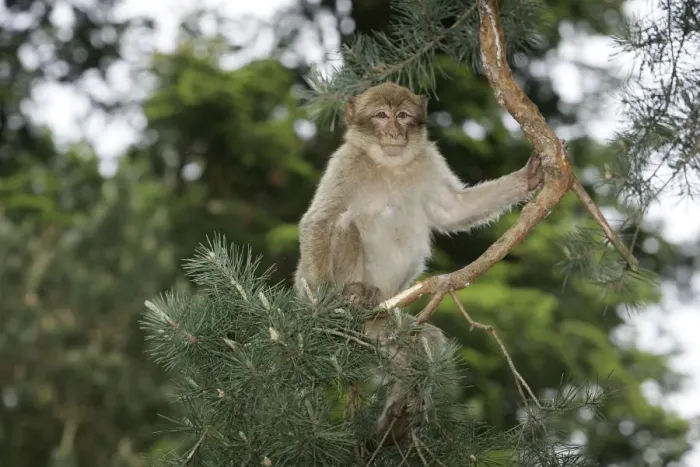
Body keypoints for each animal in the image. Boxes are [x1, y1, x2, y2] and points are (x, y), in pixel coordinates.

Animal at [294, 81, 543, 444]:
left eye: (402, 115)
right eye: (380, 115)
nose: (394, 133)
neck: (390, 164)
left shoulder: (429, 159)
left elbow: (454, 210)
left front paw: (526, 179)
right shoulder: (346, 162)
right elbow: (320, 221)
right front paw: (322, 308)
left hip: (385, 323)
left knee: (421, 341)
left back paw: (400, 416)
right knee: (343, 223)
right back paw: (352, 296)